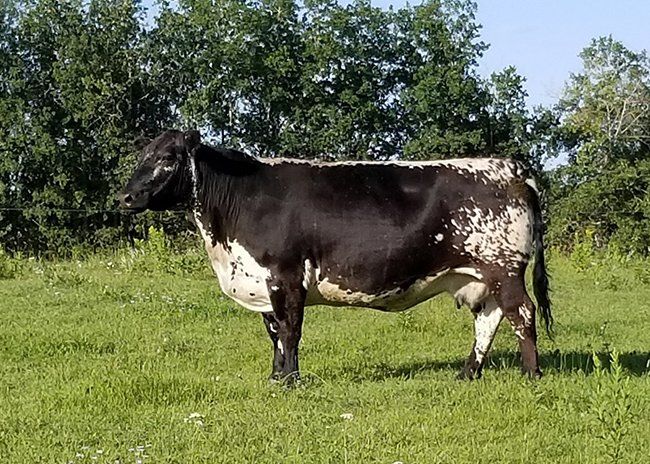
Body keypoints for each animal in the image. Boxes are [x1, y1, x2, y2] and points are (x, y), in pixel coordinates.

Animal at [119, 130, 552, 384]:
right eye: (142, 156)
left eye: (168, 159)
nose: (125, 196)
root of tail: (509, 166)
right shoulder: (260, 281)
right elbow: (273, 333)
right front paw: (275, 378)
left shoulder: (286, 275)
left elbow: (290, 331)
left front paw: (291, 381)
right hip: (480, 275)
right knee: (490, 320)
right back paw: (467, 374)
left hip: (504, 268)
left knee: (522, 314)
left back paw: (531, 374)